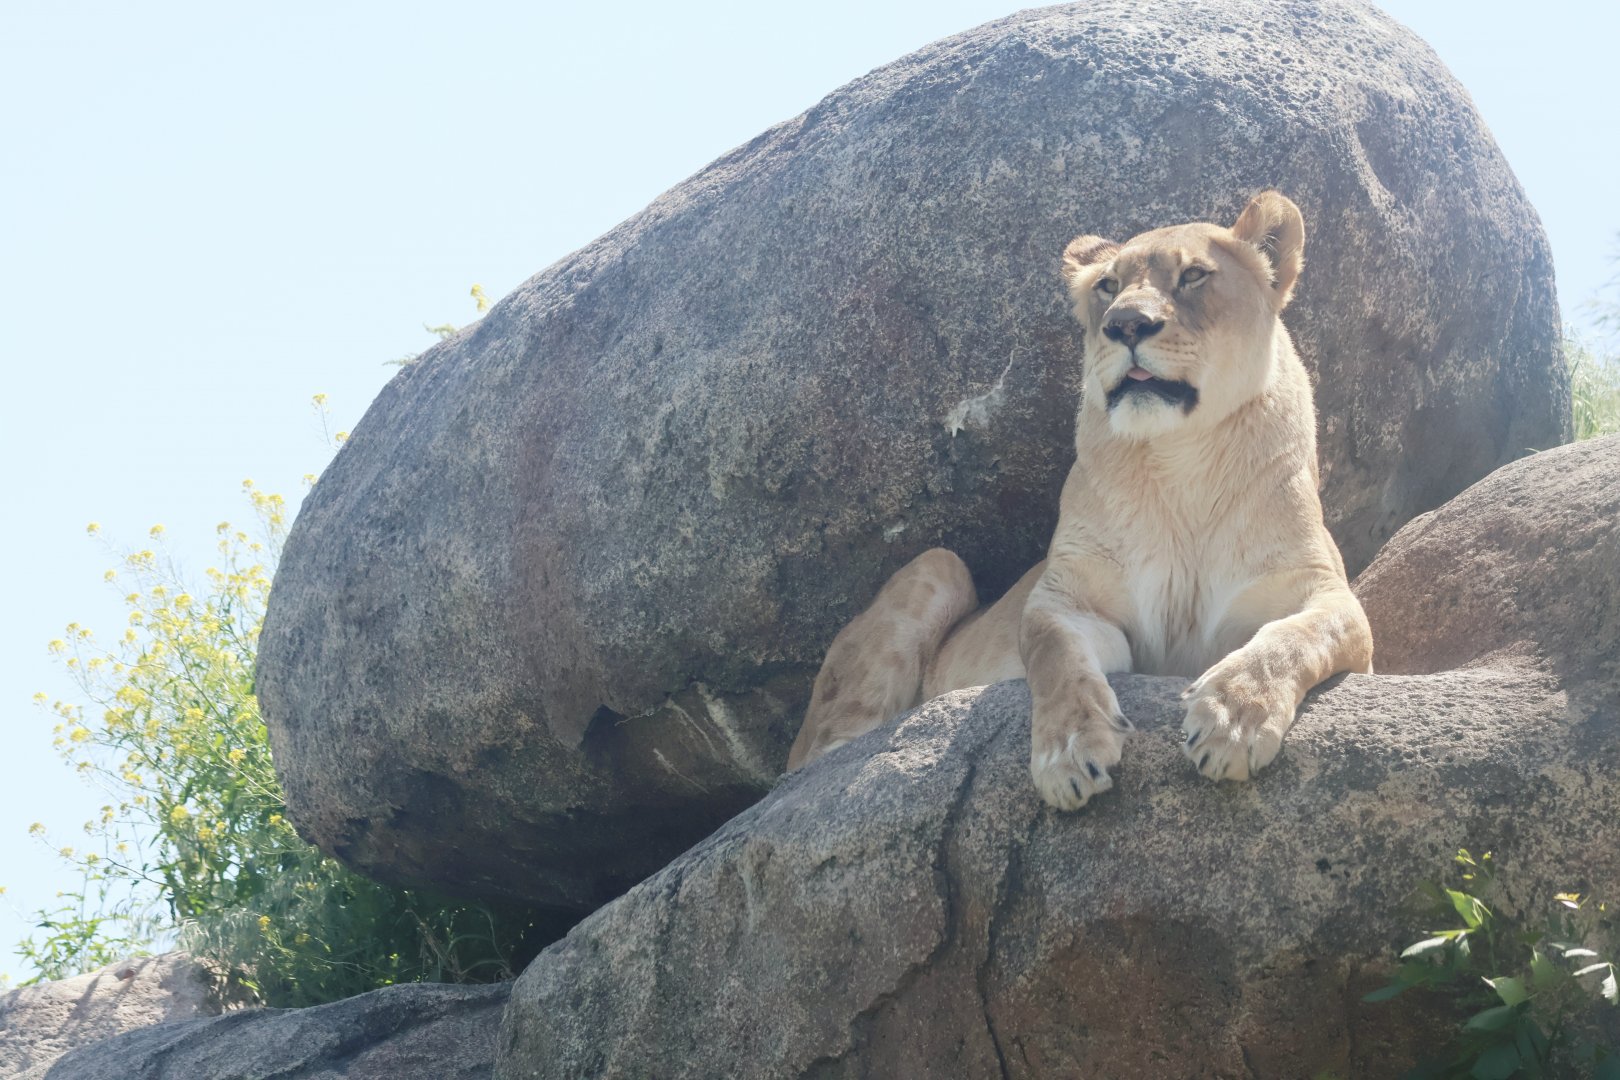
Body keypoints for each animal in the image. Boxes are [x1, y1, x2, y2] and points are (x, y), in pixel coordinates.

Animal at [786, 191, 1373, 809]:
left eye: (1193, 275)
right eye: (1109, 287)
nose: (1126, 324)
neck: (1181, 459)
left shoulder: (1324, 592)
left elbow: (1297, 637)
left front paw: (1232, 718)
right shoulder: (1067, 597)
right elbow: (1056, 656)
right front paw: (1069, 753)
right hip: (938, 566)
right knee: (818, 762)